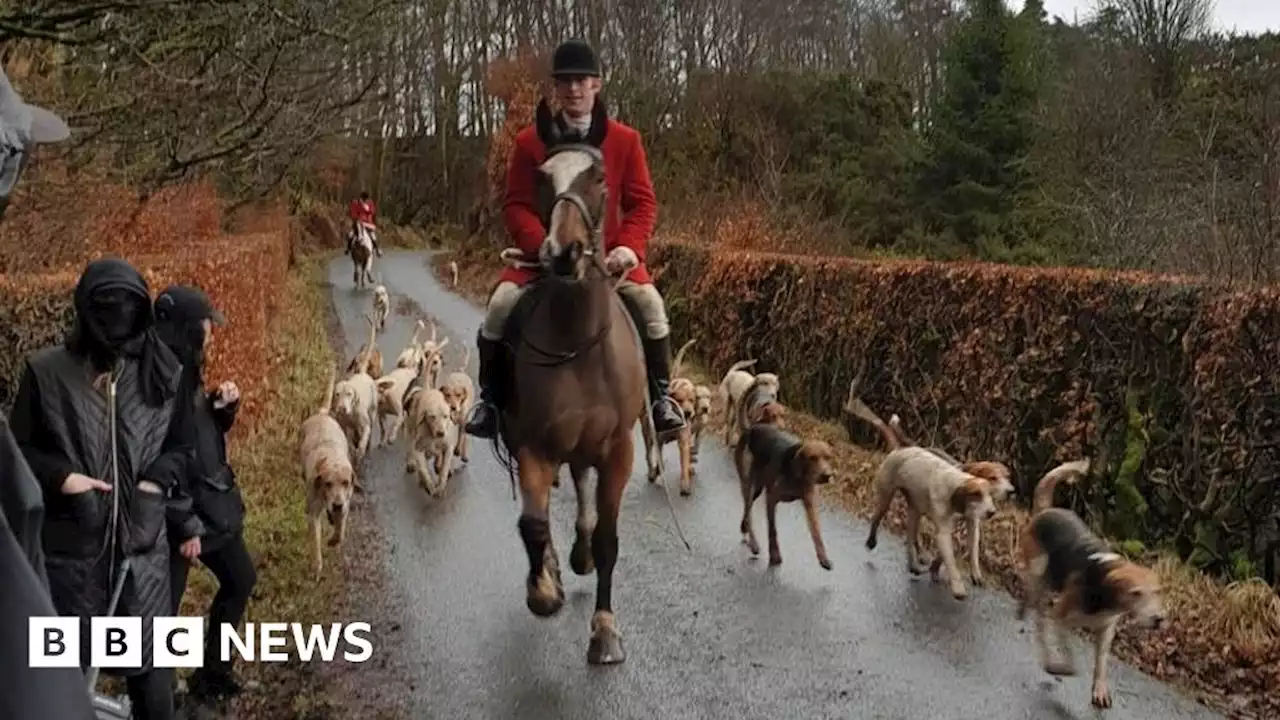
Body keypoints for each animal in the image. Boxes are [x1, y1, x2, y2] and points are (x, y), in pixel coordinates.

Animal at [488, 98, 650, 666]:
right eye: (543, 177)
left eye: (599, 177)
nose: (563, 252)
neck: (577, 341)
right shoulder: (532, 445)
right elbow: (532, 525)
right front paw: (543, 590)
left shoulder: (619, 449)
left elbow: (608, 538)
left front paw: (604, 630)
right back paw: (556, 567)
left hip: (589, 447)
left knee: (582, 494)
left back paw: (577, 555)